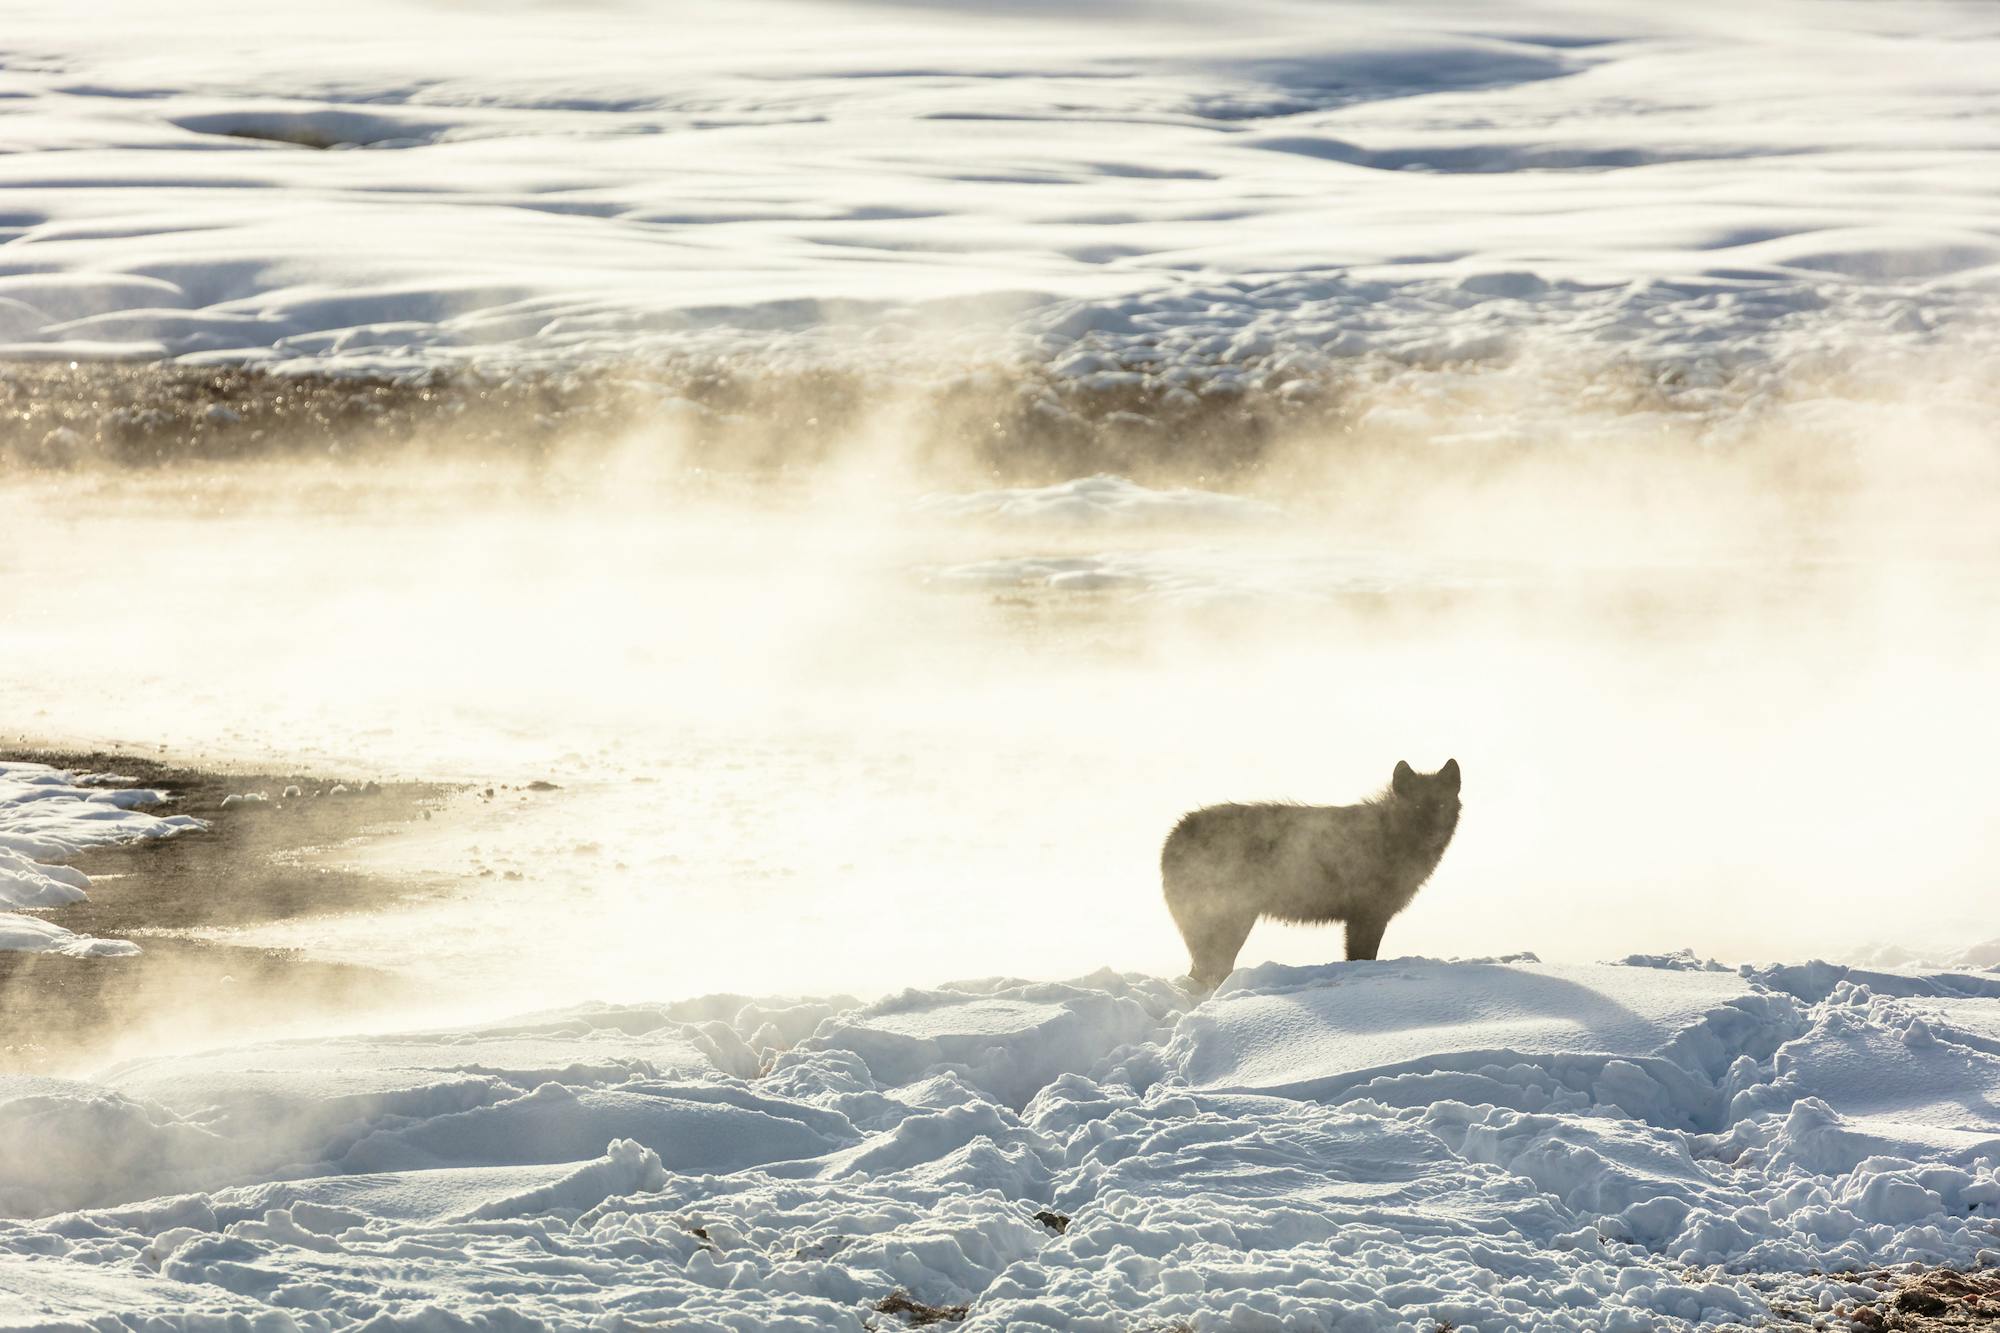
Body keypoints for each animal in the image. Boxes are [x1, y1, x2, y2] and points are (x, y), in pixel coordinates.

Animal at [1168, 756, 1464, 984]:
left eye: (1441, 804)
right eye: (1416, 806)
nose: (1432, 833)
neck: (1391, 837)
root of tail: (1174, 834)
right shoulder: (1366, 916)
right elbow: (1362, 957)